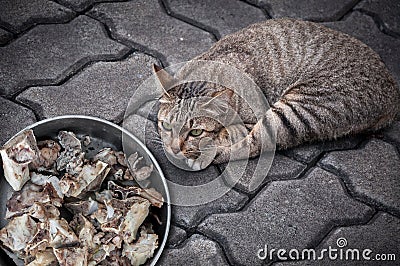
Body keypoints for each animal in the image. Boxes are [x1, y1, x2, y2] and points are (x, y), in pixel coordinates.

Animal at [152, 18, 398, 170]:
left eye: (195, 132)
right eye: (166, 125)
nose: (173, 148)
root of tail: (392, 92)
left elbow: (240, 134)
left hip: (300, 108)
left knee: (256, 144)